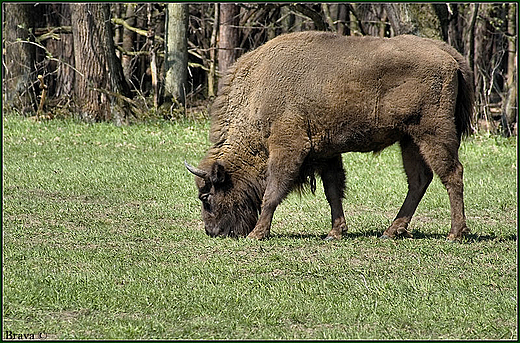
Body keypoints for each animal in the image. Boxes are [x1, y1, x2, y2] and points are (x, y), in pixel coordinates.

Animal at [185, 31, 474, 242]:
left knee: (452, 174)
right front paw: (335, 232)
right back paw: (391, 231)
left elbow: (273, 191)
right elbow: (333, 189)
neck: (260, 92)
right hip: (410, 139)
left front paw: (257, 234)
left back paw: (455, 234)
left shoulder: (289, 147)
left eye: (206, 197)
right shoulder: (326, 152)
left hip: (433, 133)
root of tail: (448, 55)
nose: (213, 232)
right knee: (419, 180)